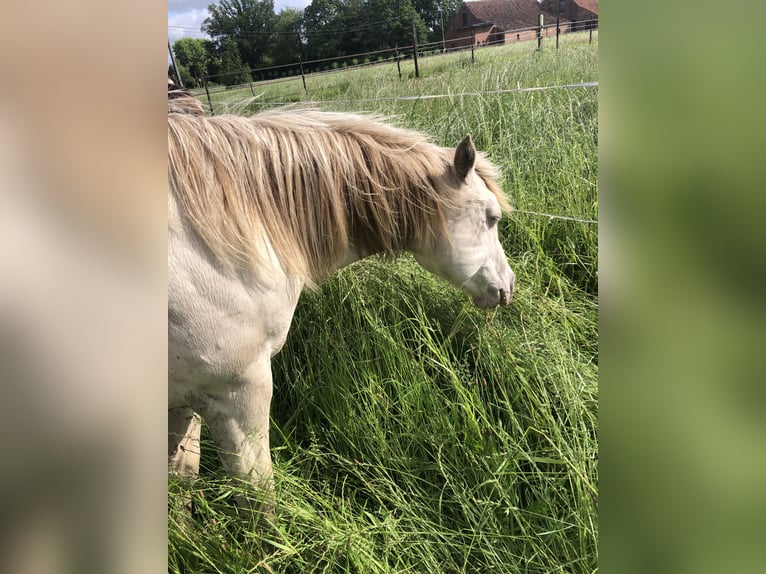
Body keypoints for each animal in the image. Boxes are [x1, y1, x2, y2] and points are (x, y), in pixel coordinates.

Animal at [167, 110, 516, 516]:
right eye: (492, 218)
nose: (508, 286)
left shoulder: (185, 399)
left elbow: (180, 477)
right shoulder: (238, 392)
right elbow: (259, 502)